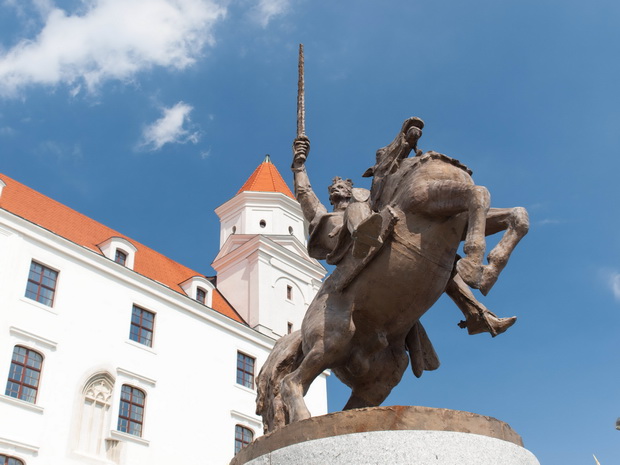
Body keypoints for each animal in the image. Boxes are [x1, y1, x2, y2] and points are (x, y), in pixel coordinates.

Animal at [256, 116, 528, 432]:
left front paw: (490, 268)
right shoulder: (430, 201)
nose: (413, 123)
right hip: (331, 340)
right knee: (291, 381)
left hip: (381, 377)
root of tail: (298, 333)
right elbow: (479, 193)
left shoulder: (461, 217)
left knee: (353, 405)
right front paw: (475, 265)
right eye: (378, 151)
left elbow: (517, 214)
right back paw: (303, 420)